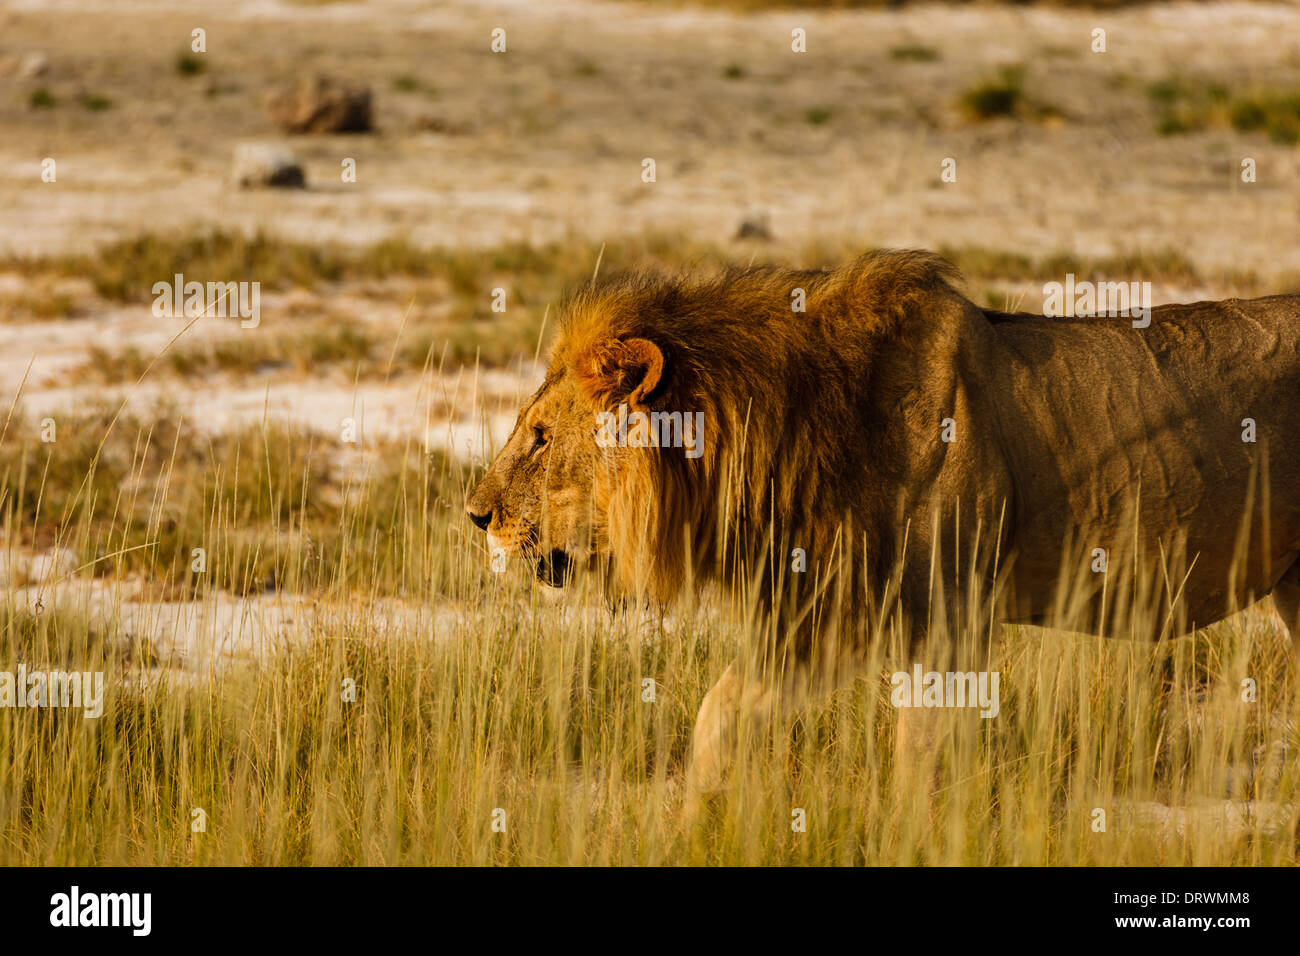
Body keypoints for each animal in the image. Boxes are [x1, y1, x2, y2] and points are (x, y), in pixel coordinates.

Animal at [465, 251, 1300, 790]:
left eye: (539, 436)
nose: (475, 516)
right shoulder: (826, 616)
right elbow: (718, 715)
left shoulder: (945, 619)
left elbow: (919, 759)